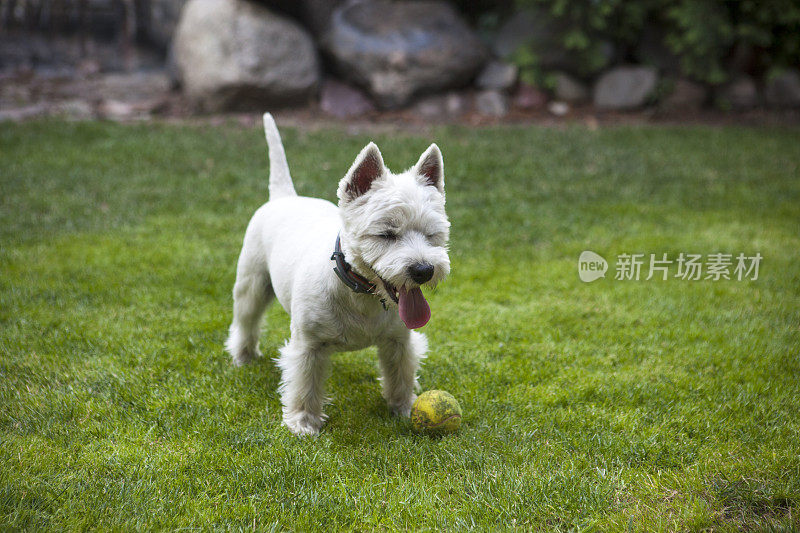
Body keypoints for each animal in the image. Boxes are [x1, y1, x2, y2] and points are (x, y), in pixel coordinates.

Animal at [225, 114, 450, 434]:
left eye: (432, 234)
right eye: (386, 234)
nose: (424, 270)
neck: (361, 293)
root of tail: (286, 196)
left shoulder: (399, 342)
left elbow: (401, 376)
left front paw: (404, 409)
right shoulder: (308, 346)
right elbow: (304, 386)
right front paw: (303, 423)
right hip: (251, 284)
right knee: (246, 321)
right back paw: (243, 357)